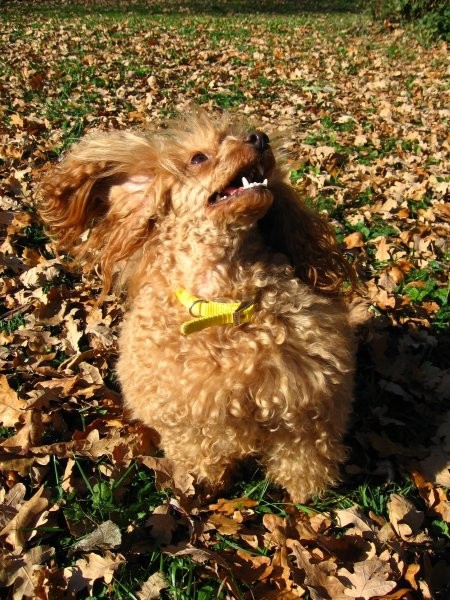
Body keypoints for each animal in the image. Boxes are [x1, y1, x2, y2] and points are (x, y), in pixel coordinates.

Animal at [40, 111, 356, 502]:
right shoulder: (183, 412)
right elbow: (200, 450)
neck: (223, 300)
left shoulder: (304, 404)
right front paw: (205, 484)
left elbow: (303, 456)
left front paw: (306, 495)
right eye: (198, 158)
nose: (259, 137)